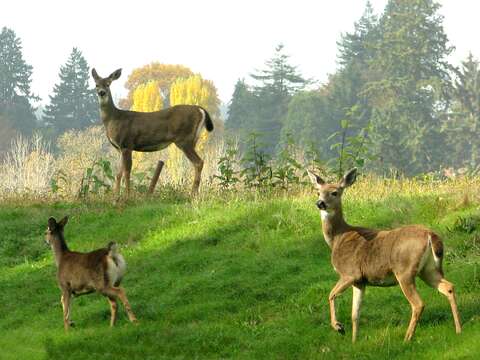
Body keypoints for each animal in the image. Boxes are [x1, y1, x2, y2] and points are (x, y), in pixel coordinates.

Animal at [91, 67, 215, 197]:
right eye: (96, 84)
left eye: (108, 84)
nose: (102, 92)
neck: (114, 118)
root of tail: (200, 110)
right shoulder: (119, 148)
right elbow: (118, 174)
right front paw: (116, 196)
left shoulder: (127, 143)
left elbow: (127, 171)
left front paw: (127, 196)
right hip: (193, 140)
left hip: (184, 139)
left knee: (199, 162)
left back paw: (193, 194)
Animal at [308, 169, 462, 344]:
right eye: (318, 192)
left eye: (334, 192)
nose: (320, 203)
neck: (337, 238)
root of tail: (431, 235)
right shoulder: (360, 281)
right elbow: (355, 314)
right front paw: (354, 341)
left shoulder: (350, 273)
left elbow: (331, 295)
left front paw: (339, 327)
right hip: (428, 270)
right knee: (448, 287)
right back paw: (458, 329)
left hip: (405, 270)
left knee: (418, 303)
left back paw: (407, 338)